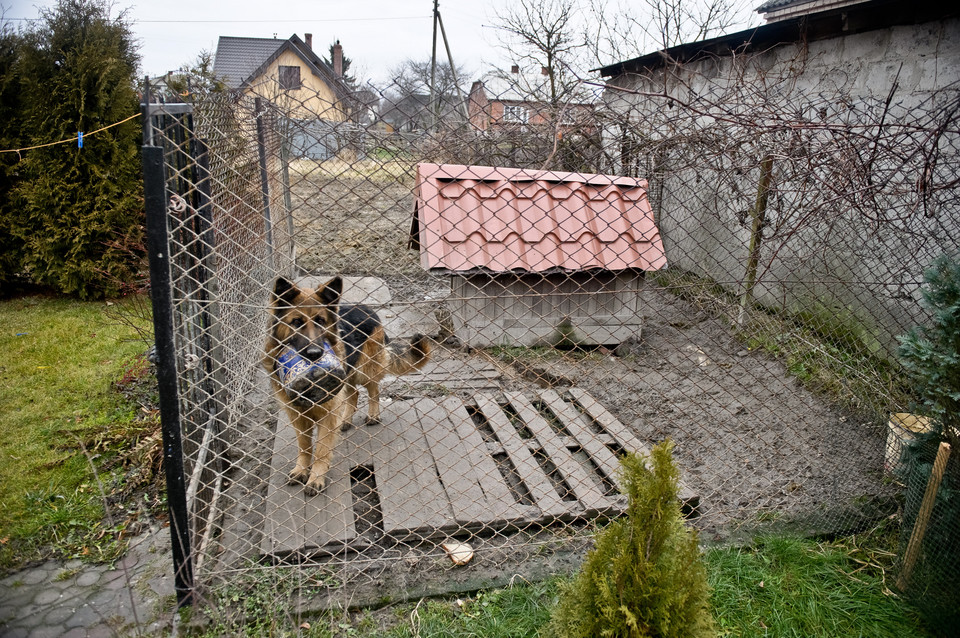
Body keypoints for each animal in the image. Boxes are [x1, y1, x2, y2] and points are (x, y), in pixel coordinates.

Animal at [260, 276, 430, 496]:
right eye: (296, 322)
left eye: (320, 321)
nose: (315, 354)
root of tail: (366, 308)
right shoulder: (297, 414)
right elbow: (304, 446)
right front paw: (301, 470)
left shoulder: (327, 413)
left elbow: (322, 449)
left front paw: (316, 478)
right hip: (347, 372)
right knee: (354, 393)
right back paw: (345, 421)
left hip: (364, 369)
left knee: (373, 390)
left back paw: (373, 415)